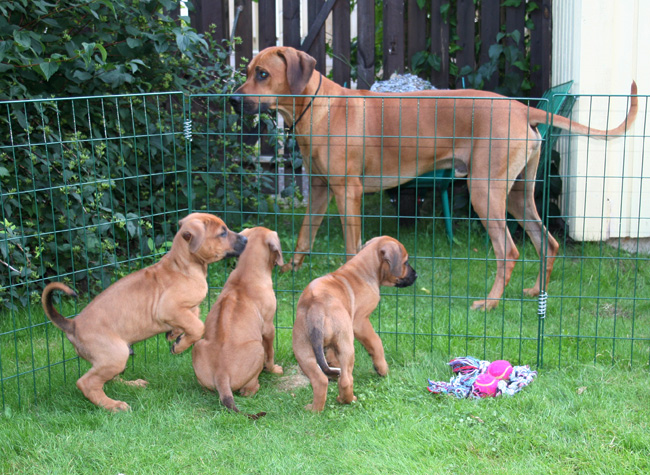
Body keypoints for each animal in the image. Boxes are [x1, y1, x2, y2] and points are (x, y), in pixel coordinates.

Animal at [40, 214, 247, 410]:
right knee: (87, 383)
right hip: (115, 354)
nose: (245, 239)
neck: (184, 265)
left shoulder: (188, 308)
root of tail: (72, 324)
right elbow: (198, 326)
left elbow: (193, 317)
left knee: (108, 380)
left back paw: (132, 384)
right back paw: (113, 405)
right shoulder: (169, 308)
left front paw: (175, 335)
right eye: (222, 233)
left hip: (114, 357)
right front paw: (180, 346)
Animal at [191, 229, 284, 418]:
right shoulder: (269, 327)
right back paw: (256, 385)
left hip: (198, 345)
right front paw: (273, 369)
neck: (246, 272)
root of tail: (221, 374)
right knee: (248, 390)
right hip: (257, 348)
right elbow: (270, 353)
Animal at [230, 45, 636, 312]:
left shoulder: (348, 191)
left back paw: (489, 303)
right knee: (547, 243)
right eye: (247, 71)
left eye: (263, 74)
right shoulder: (318, 189)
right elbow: (304, 234)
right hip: (517, 194)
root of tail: (522, 108)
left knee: (509, 251)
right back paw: (536, 292)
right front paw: (290, 270)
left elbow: (350, 246)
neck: (317, 107)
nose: (233, 100)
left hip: (484, 192)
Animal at [292, 236, 416, 410]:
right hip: (346, 344)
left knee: (320, 380)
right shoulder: (361, 322)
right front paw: (382, 368)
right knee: (346, 379)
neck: (364, 270)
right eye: (406, 262)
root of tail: (315, 305)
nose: (416, 275)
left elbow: (331, 354)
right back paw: (348, 400)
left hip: (302, 348)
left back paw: (314, 409)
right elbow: (376, 343)